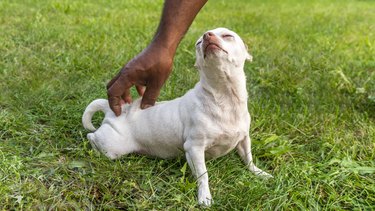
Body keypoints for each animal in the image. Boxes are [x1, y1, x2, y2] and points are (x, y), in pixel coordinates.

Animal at [82, 28, 272, 206]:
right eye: (198, 43)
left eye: (227, 35)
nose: (207, 35)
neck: (224, 97)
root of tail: (115, 110)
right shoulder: (194, 148)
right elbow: (203, 175)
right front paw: (205, 196)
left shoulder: (244, 139)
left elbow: (248, 158)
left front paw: (259, 173)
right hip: (113, 146)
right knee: (91, 136)